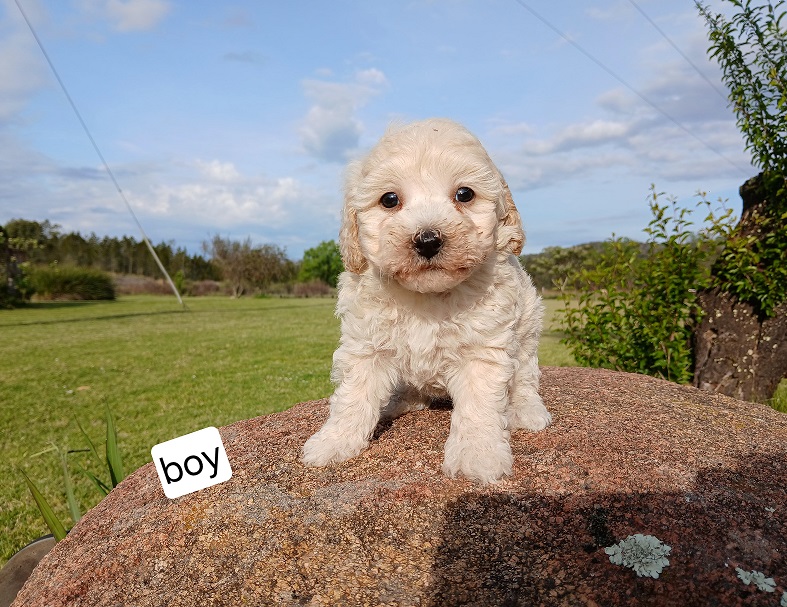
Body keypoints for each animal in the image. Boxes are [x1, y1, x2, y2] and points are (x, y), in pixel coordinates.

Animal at [304, 119, 556, 484]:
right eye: (389, 199)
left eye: (464, 194)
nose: (427, 240)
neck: (427, 296)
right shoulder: (365, 346)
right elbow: (353, 396)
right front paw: (333, 442)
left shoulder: (483, 349)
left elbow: (479, 407)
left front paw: (477, 456)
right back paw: (396, 401)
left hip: (527, 331)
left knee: (524, 377)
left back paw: (527, 411)